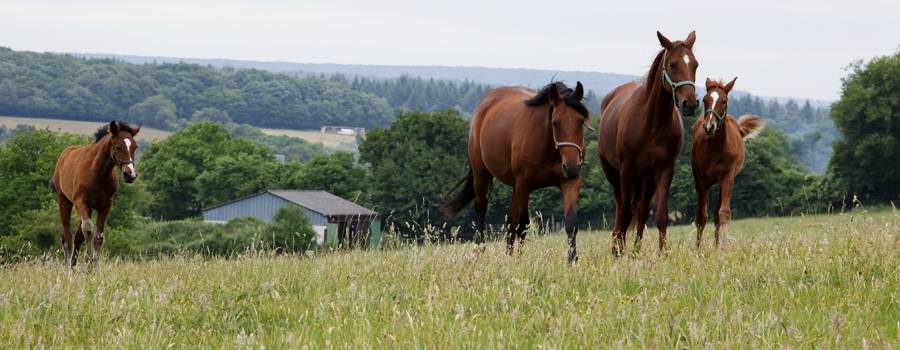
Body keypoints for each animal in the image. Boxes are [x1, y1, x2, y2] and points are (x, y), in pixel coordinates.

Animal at [52, 121, 140, 268]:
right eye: (117, 147)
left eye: (135, 147)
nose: (130, 175)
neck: (98, 173)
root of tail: (64, 155)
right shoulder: (80, 202)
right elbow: (88, 229)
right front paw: (88, 259)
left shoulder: (105, 206)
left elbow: (98, 237)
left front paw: (95, 267)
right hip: (65, 201)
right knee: (67, 237)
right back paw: (67, 267)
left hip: (89, 209)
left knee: (77, 236)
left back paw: (73, 265)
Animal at [442, 82, 592, 262]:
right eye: (555, 122)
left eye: (581, 122)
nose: (571, 167)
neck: (547, 146)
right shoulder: (524, 184)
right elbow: (523, 224)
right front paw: (520, 260)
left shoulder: (569, 182)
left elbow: (571, 221)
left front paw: (572, 259)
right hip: (482, 174)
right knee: (481, 208)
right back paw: (479, 250)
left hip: (515, 186)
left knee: (510, 220)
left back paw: (508, 254)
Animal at [596, 31, 704, 256]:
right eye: (672, 64)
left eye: (695, 64)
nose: (690, 104)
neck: (652, 122)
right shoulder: (627, 171)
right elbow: (625, 214)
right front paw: (620, 252)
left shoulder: (663, 169)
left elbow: (661, 215)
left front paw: (662, 253)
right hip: (615, 175)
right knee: (621, 209)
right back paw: (617, 246)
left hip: (646, 179)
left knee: (642, 211)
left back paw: (635, 250)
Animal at [692, 78, 764, 249]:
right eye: (704, 100)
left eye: (724, 101)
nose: (709, 127)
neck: (715, 148)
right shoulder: (701, 180)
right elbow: (701, 216)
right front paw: (697, 250)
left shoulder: (727, 177)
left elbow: (724, 213)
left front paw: (723, 248)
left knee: (718, 214)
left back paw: (717, 245)